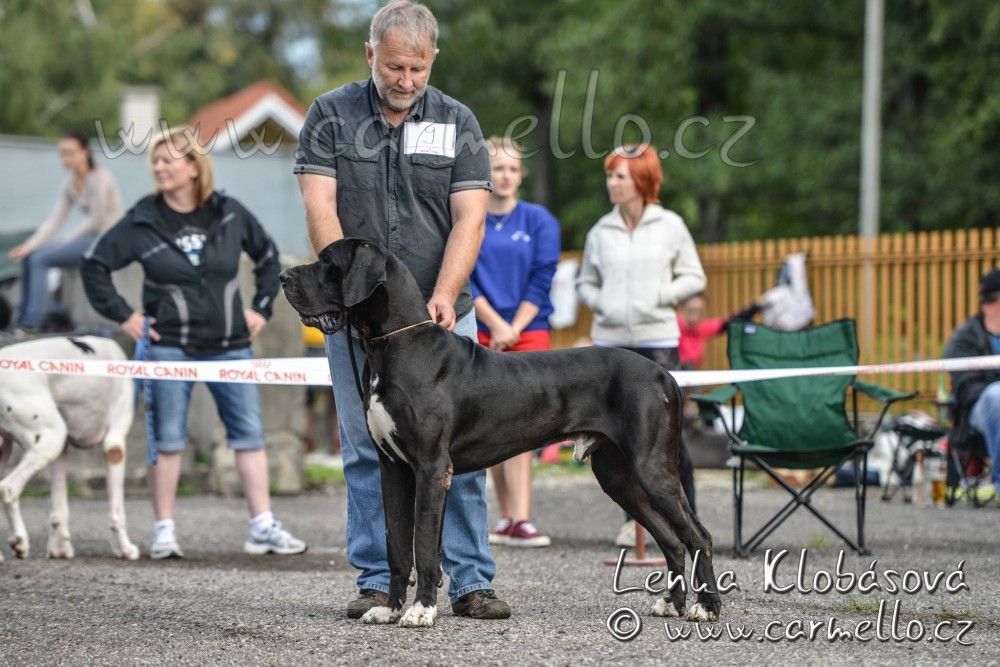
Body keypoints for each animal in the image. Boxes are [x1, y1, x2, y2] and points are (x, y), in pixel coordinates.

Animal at [0, 336, 139, 563]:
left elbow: (59, 508)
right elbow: (117, 512)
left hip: (15, 448)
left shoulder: (61, 452)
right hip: (50, 439)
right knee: (8, 489)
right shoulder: (114, 446)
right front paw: (124, 548)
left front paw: (59, 549)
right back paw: (19, 540)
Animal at [280, 238, 721, 627]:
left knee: (698, 535)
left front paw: (421, 611)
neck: (394, 346)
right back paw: (672, 604)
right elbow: (397, 547)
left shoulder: (431, 469)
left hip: (652, 468)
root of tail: (664, 375)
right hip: (617, 476)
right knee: (671, 538)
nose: (283, 276)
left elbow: (424, 546)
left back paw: (707, 608)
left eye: (327, 262)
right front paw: (388, 610)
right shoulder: (393, 468)